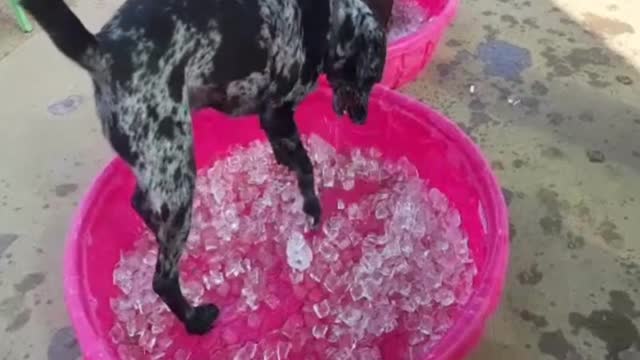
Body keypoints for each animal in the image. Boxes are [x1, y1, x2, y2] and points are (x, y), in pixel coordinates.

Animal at [22, 0, 384, 334]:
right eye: (371, 78)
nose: (363, 119)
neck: (330, 19)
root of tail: (102, 51)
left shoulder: (273, 124)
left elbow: (291, 158)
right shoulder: (278, 114)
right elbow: (306, 169)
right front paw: (312, 209)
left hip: (161, 168)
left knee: (142, 205)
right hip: (177, 174)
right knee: (163, 280)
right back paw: (195, 320)